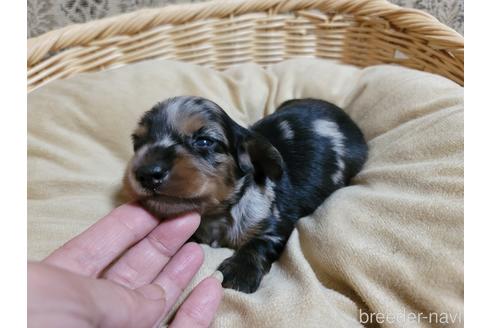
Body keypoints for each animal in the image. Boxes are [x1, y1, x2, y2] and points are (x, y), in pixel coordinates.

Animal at [125, 96, 368, 294]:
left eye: (204, 141)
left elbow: (259, 243)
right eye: (138, 142)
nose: (146, 173)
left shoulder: (276, 225)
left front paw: (240, 272)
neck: (216, 215)